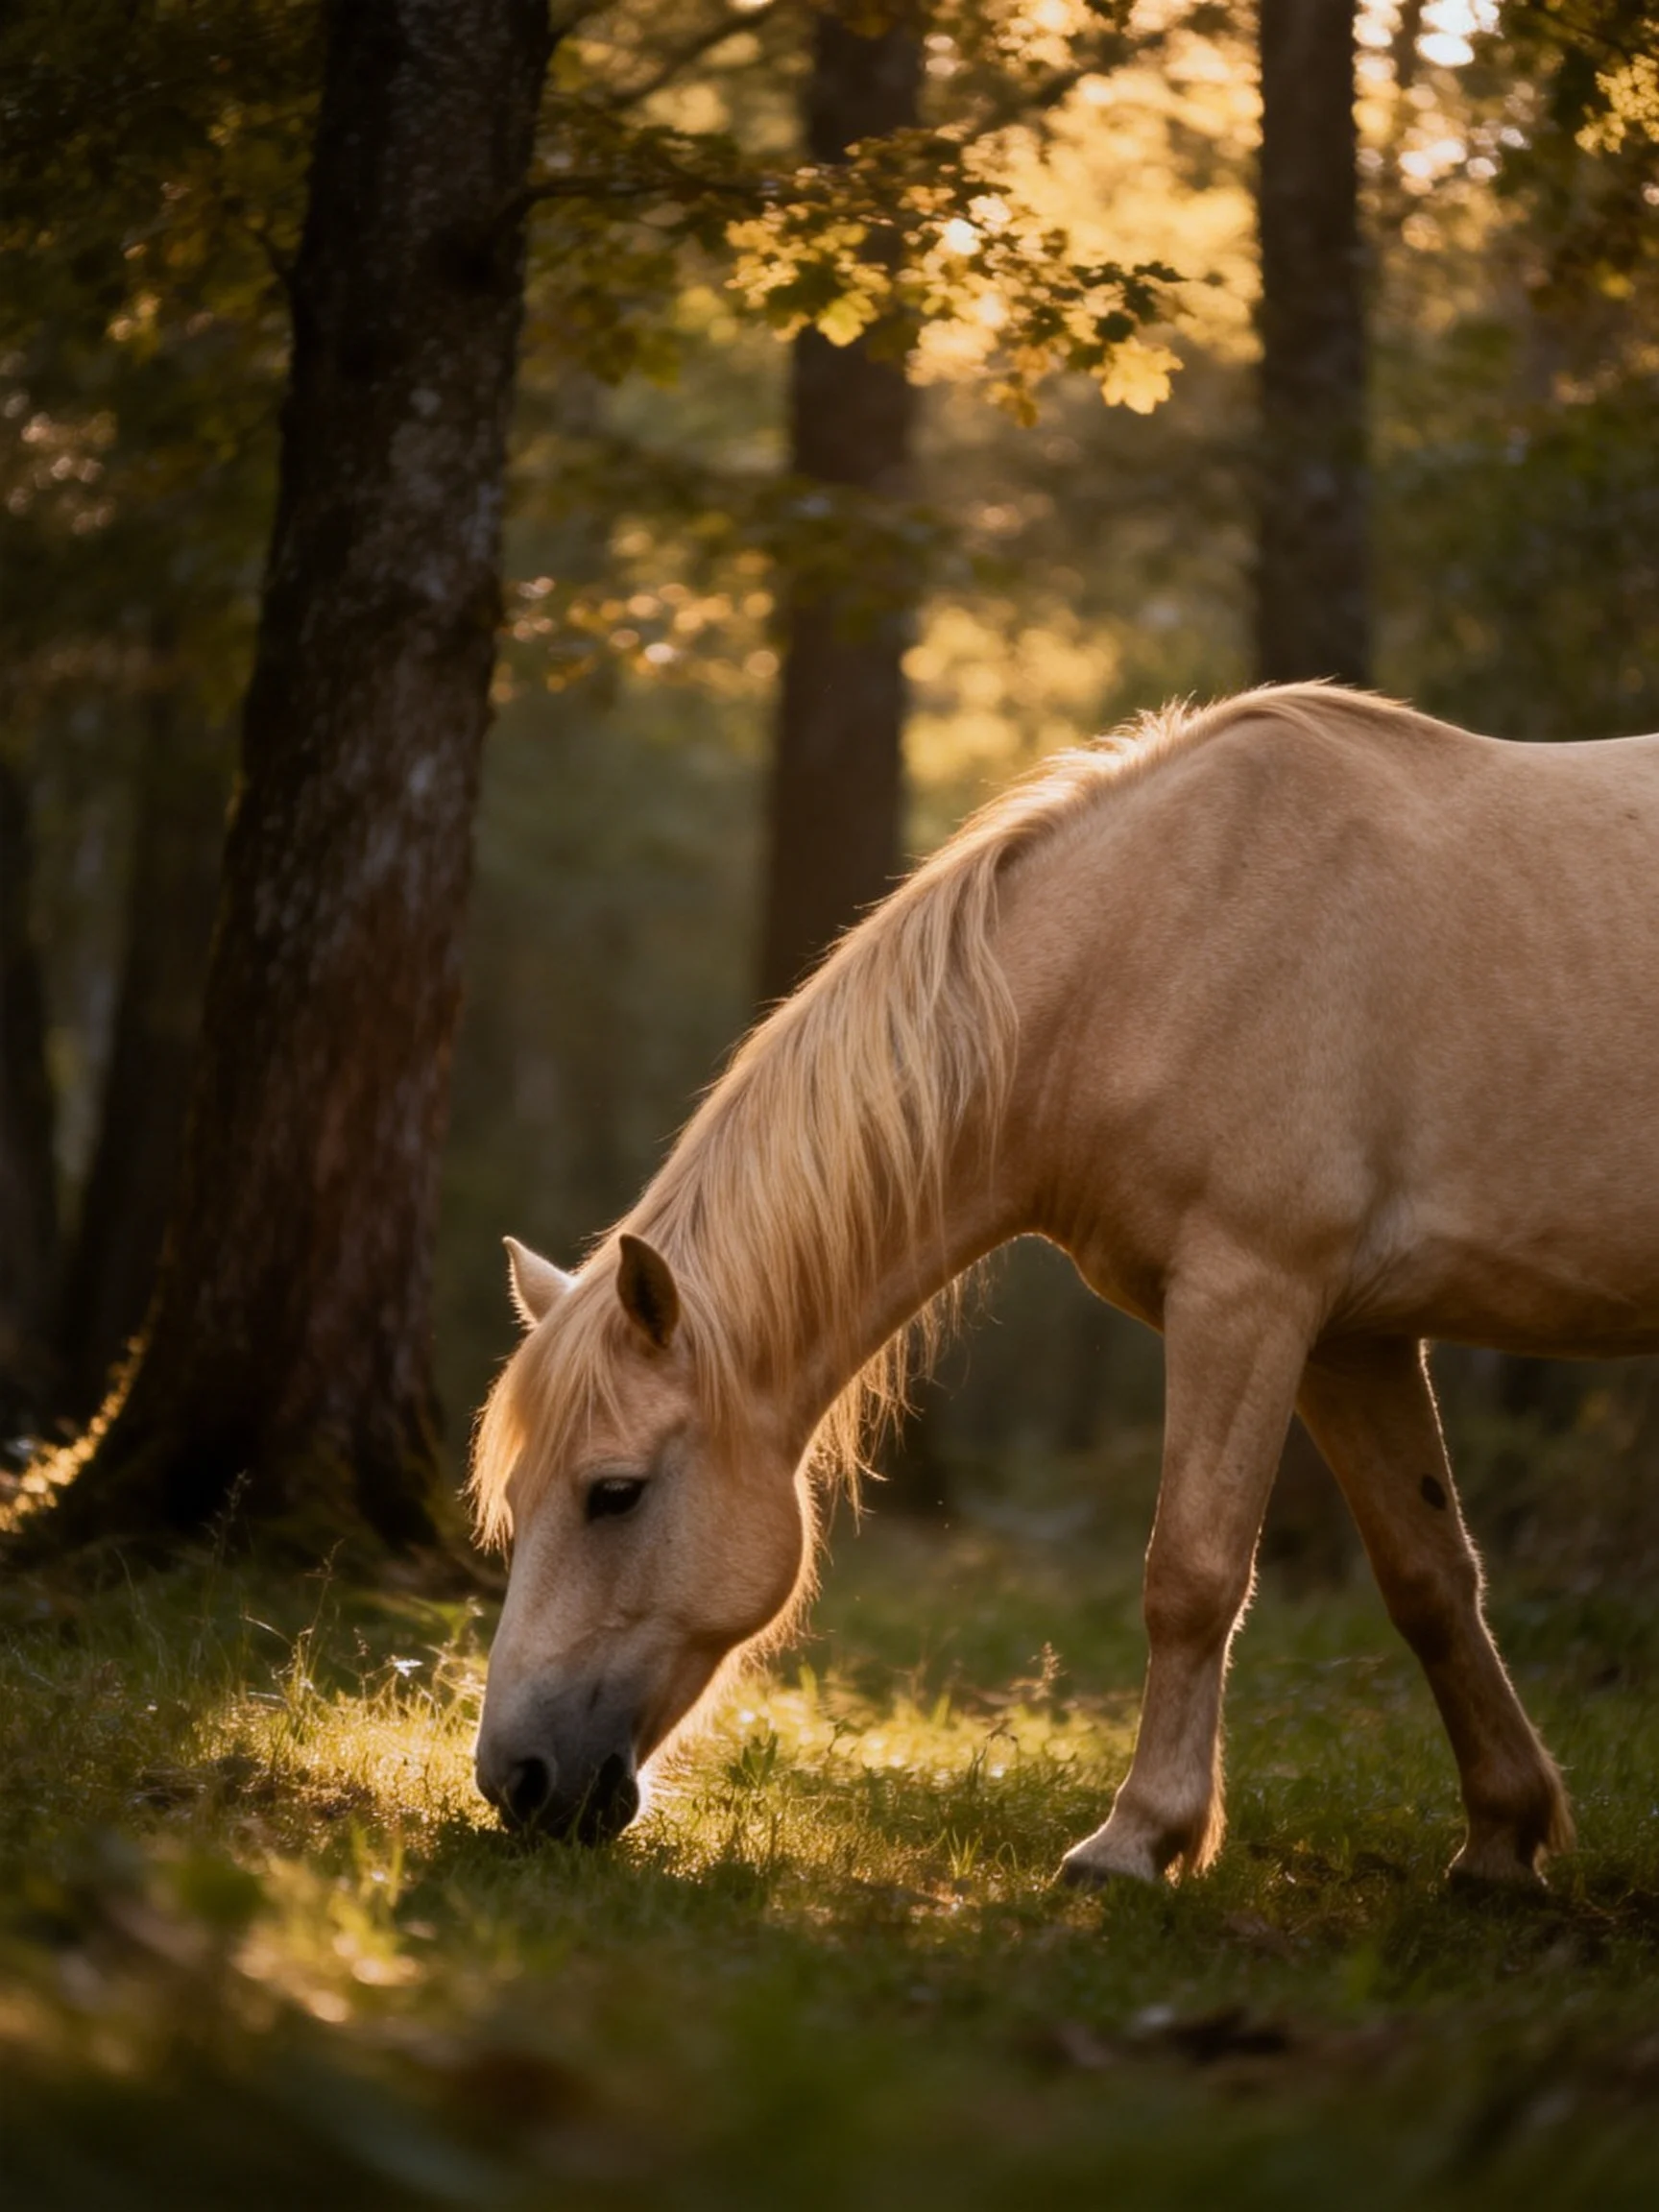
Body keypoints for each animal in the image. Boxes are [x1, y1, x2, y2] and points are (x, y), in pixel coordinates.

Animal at [472, 682, 1659, 1885]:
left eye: (615, 1493)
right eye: (516, 1502)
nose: (514, 1780)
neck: (1156, 944)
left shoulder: (1248, 1298)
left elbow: (1192, 1573)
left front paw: (1138, 1838)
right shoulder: (1349, 1341)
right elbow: (1431, 1581)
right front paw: (1502, 1841)